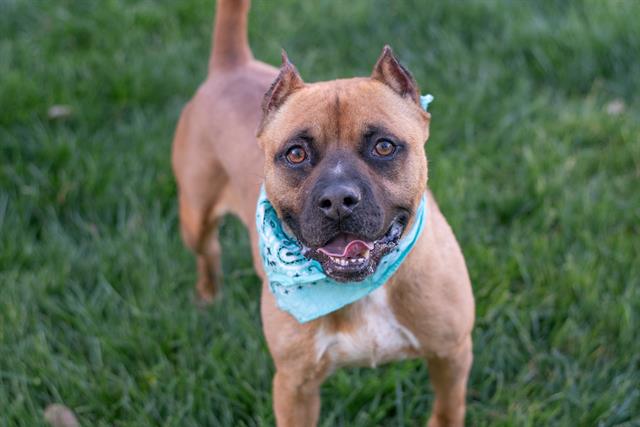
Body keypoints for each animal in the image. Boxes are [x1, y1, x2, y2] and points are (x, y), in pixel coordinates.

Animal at [172, 1, 472, 426]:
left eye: (384, 146)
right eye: (296, 153)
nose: (338, 199)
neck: (365, 287)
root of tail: (232, 66)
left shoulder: (451, 356)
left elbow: (447, 411)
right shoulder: (294, 386)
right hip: (195, 217)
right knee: (207, 251)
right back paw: (208, 295)